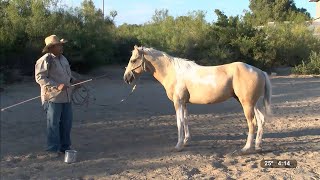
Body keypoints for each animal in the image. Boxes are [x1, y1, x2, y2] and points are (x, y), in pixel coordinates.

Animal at [124, 45, 272, 153]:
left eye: (133, 60)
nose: (126, 78)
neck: (173, 72)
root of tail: (260, 71)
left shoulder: (178, 103)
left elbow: (179, 122)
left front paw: (178, 145)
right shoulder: (184, 103)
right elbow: (185, 120)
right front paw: (185, 141)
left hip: (247, 104)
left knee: (252, 123)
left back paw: (246, 148)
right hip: (254, 104)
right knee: (261, 120)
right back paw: (258, 146)